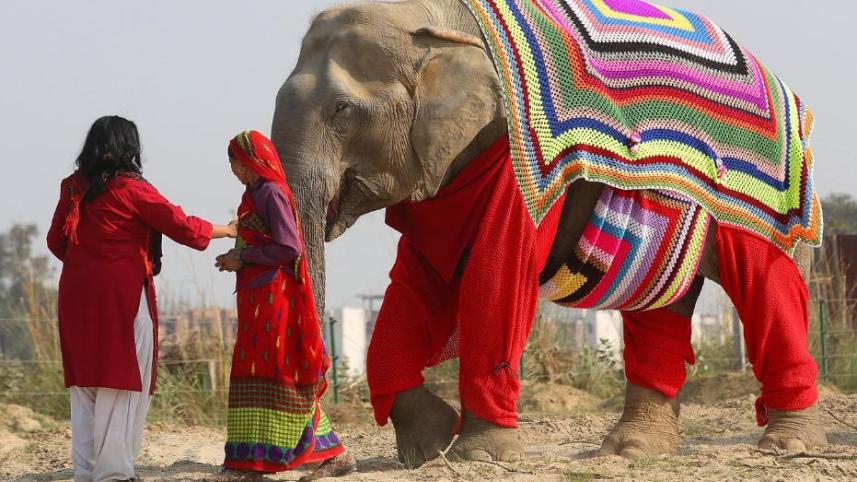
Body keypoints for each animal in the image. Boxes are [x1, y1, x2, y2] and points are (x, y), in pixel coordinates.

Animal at [271, 0, 827, 466]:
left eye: (343, 111)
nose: (334, 463)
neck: (431, 19)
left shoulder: (513, 159)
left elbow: (496, 271)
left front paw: (481, 456)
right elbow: (415, 280)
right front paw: (429, 448)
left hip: (771, 197)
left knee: (768, 286)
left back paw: (788, 446)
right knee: (660, 307)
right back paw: (631, 452)